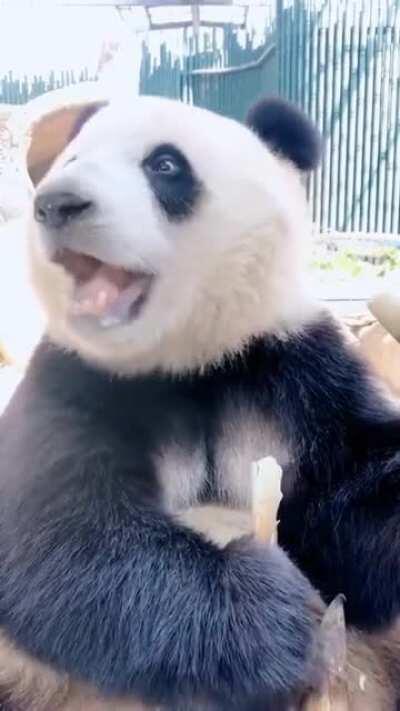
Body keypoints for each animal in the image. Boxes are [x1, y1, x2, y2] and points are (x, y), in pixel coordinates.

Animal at [0, 94, 399, 711]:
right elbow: (56, 534)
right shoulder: (77, 377)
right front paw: (271, 614)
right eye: (72, 159)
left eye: (164, 165)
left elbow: (351, 495)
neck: (189, 359)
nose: (57, 203)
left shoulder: (297, 368)